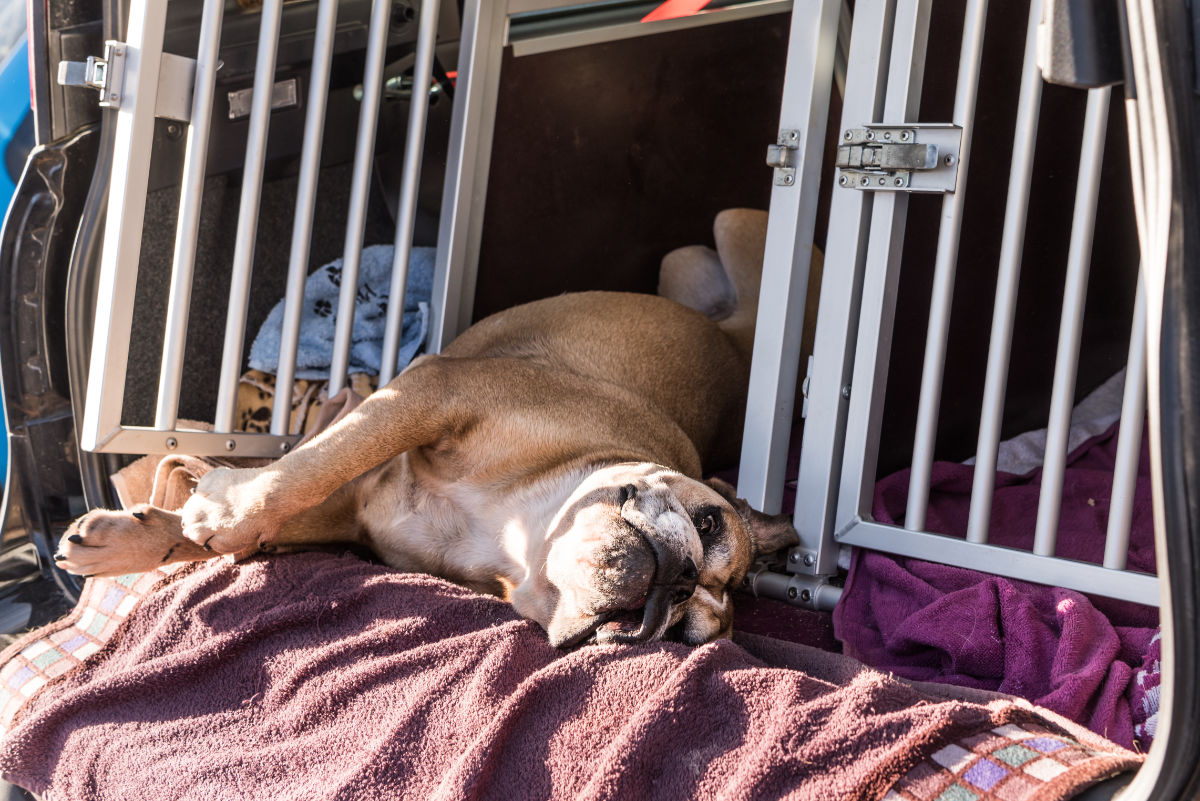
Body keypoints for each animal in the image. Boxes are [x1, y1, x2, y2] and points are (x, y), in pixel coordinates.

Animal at [51, 209, 811, 647]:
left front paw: (147, 534)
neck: (521, 532)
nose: (679, 584)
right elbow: (302, 472)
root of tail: (739, 338)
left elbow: (258, 518)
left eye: (683, 635)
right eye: (710, 523)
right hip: (718, 233)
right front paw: (200, 513)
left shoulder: (355, 511)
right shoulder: (429, 394)